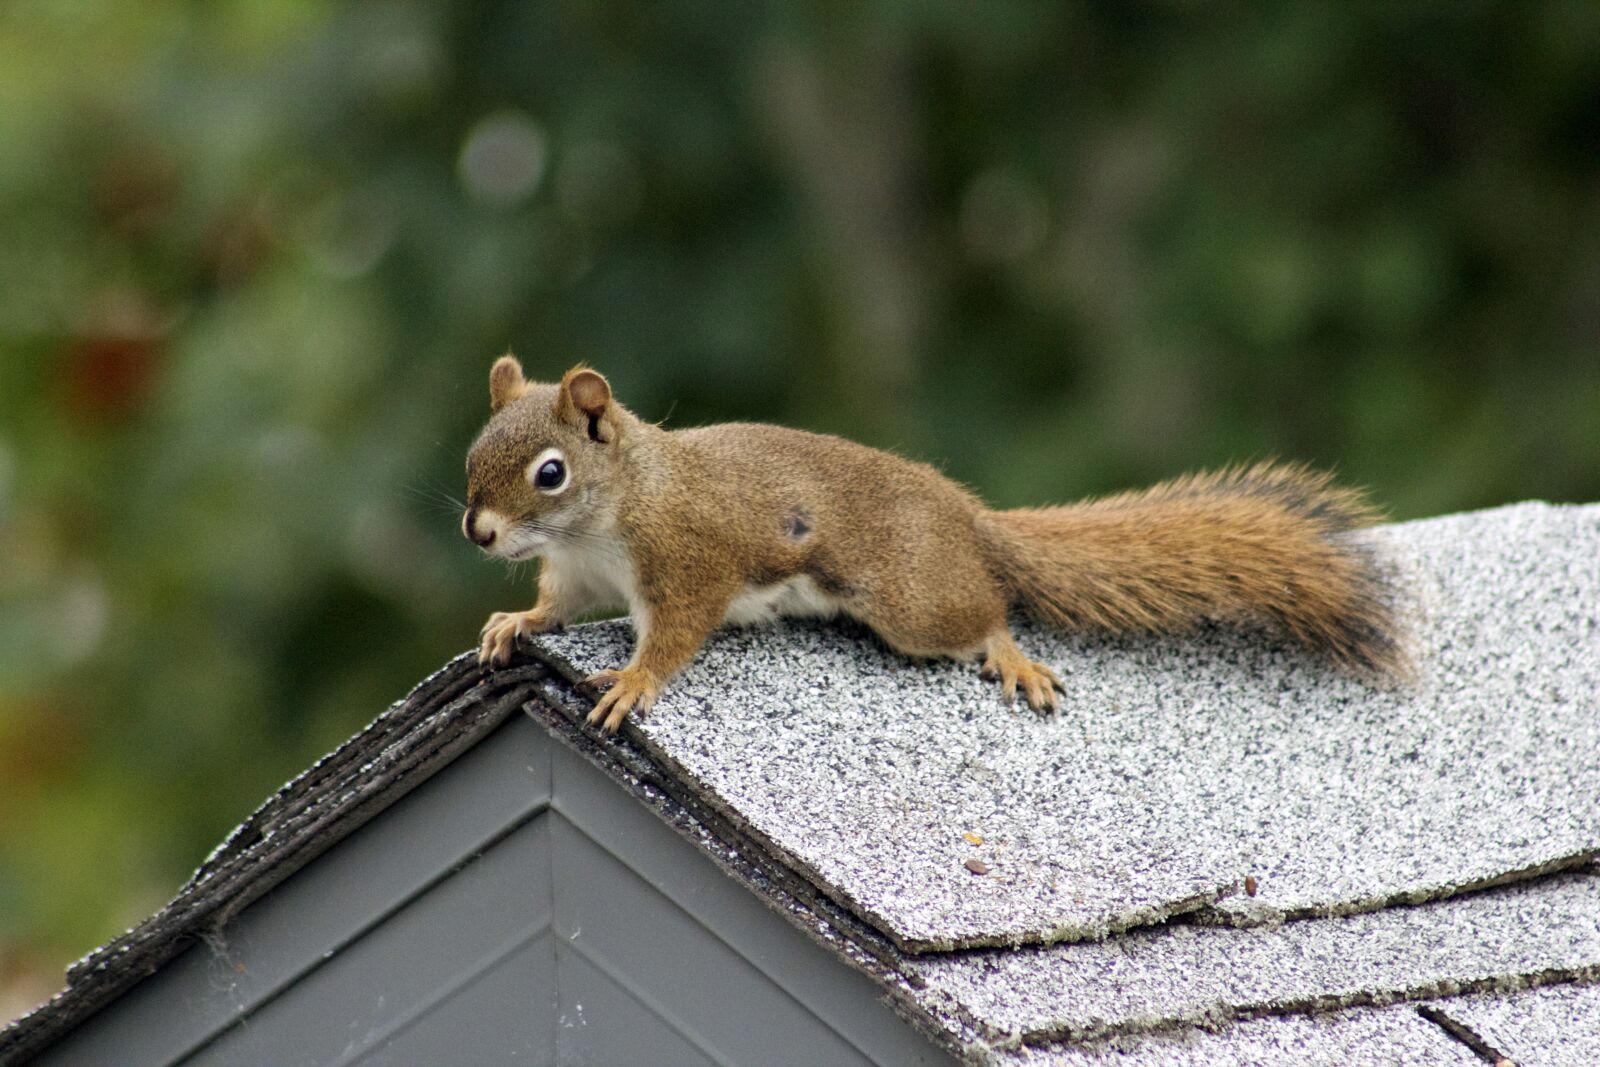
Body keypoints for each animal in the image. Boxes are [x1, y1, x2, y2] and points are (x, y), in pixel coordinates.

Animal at [464, 357, 1405, 733]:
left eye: (550, 473)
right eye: (473, 454)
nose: (479, 530)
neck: (611, 513)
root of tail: (968, 515)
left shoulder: (688, 561)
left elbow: (675, 633)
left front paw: (632, 681)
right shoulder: (580, 576)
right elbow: (554, 607)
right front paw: (512, 622)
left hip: (911, 600)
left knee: (982, 614)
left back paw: (1010, 654)